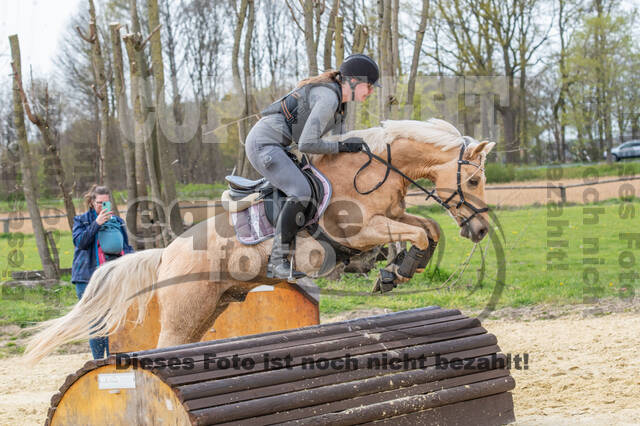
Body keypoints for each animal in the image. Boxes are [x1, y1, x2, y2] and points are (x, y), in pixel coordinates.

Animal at [23, 119, 496, 362]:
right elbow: (417, 231)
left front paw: (398, 269)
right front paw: (395, 271)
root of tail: (165, 255)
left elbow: (428, 229)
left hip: (207, 311)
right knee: (164, 348)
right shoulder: (362, 230)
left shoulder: (391, 217)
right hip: (183, 315)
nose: (481, 230)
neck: (373, 168)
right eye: (473, 180)